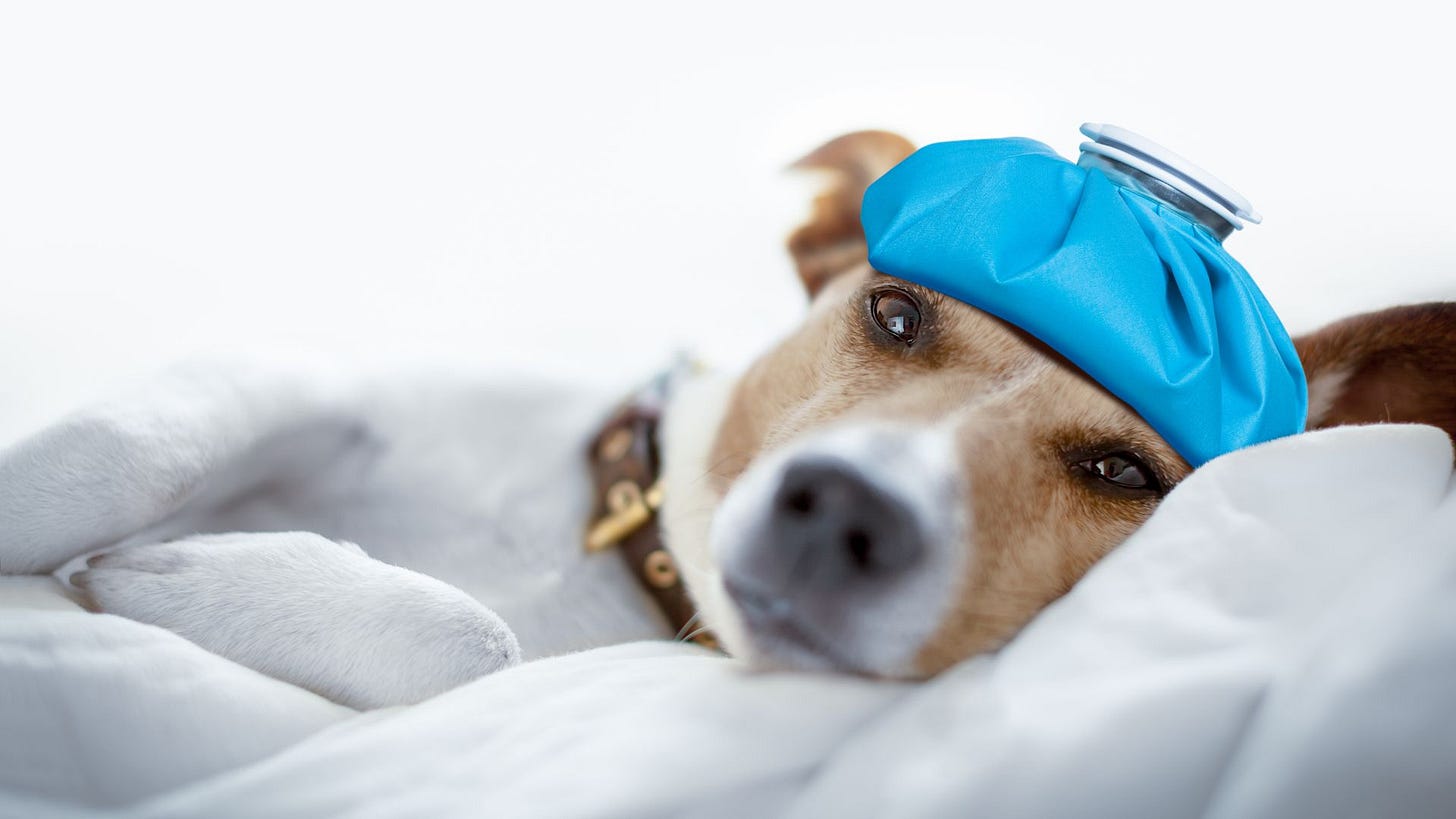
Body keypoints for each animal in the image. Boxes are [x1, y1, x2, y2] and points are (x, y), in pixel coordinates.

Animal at [62, 130, 1456, 705]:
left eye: (1123, 471)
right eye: (893, 315)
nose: (842, 512)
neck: (606, 564)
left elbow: (478, 642)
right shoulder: (312, 381)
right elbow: (111, 448)